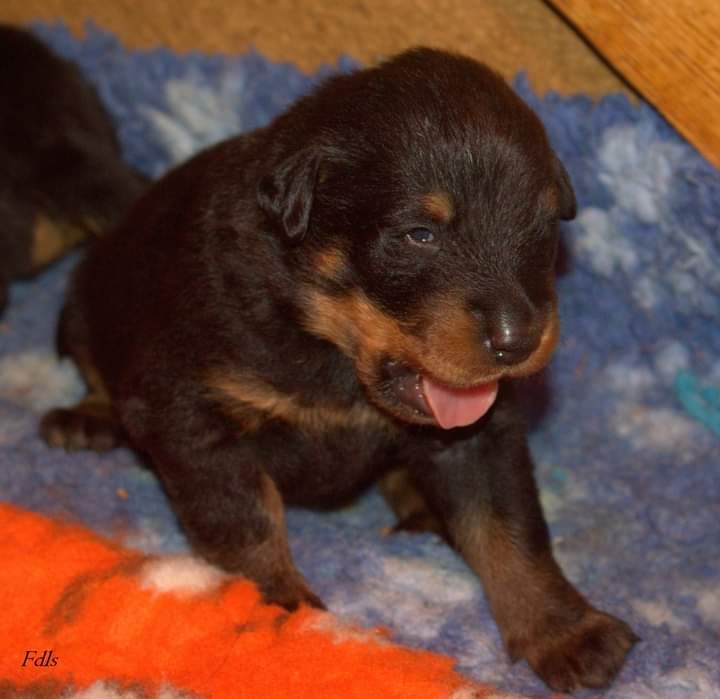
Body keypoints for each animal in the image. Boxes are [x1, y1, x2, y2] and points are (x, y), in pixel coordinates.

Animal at [40, 50, 636, 696]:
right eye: (419, 234)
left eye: (541, 226)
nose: (518, 339)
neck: (330, 351)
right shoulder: (188, 412)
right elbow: (245, 522)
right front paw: (276, 614)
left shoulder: (483, 432)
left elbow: (510, 527)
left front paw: (565, 631)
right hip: (88, 297)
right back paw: (86, 418)